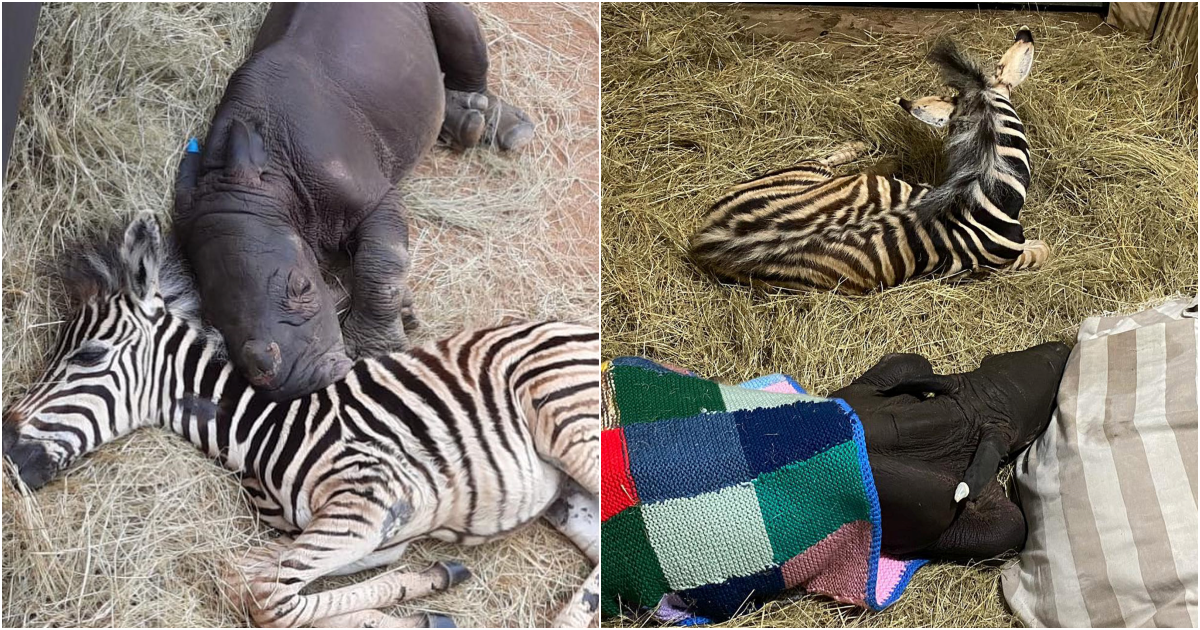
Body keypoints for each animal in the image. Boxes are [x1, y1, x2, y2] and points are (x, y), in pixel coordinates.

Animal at [0, 213, 600, 624]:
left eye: (88, 356)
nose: (6, 451)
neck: (262, 431)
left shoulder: (371, 502)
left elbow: (269, 598)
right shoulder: (368, 534)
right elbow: (243, 576)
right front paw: (426, 593)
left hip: (567, 419)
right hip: (567, 500)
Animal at [174, 2, 535, 400]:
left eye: (303, 287)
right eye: (213, 321)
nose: (295, 382)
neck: (270, 183)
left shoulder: (374, 199)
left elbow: (380, 264)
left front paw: (375, 350)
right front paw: (403, 312)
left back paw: (497, 126)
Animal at [696, 28, 1051, 294]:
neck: (982, 185)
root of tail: (706, 241)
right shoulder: (999, 261)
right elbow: (1041, 250)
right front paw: (1042, 247)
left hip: (799, 177)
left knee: (839, 164)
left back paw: (876, 156)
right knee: (828, 159)